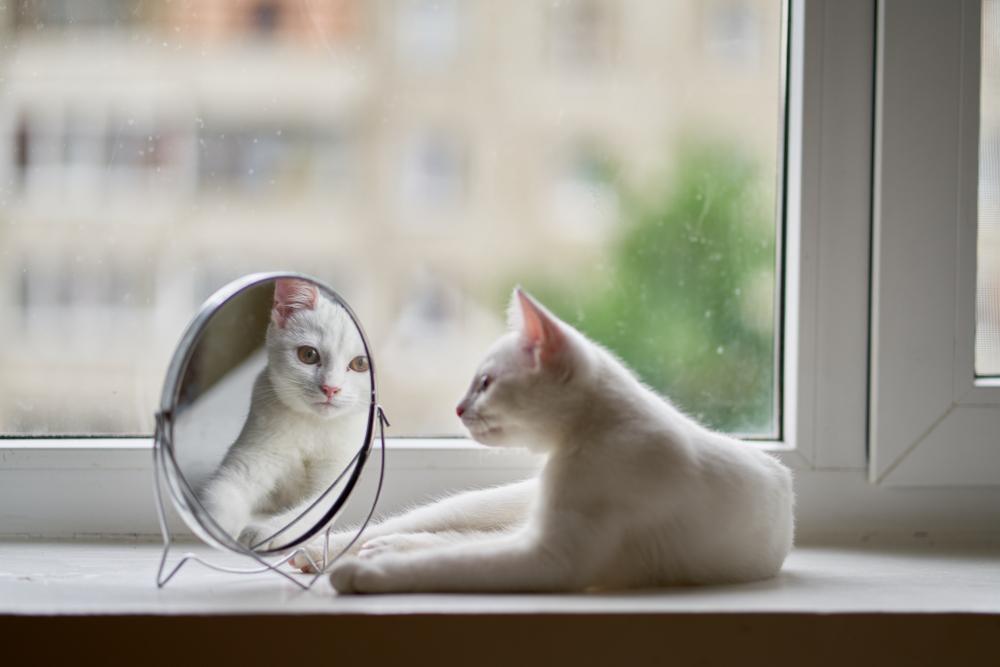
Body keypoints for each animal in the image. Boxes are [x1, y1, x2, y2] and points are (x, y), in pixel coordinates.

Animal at [197, 280, 370, 552]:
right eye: (308, 355)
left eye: (361, 363)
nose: (330, 388)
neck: (313, 424)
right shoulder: (251, 457)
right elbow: (224, 491)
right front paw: (216, 527)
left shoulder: (340, 478)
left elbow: (312, 511)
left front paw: (267, 531)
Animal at [292, 290, 792, 592]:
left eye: (486, 383)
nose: (458, 408)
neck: (592, 433)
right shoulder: (544, 548)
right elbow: (451, 555)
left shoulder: (551, 558)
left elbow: (448, 563)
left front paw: (367, 573)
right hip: (484, 505)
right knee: (429, 528)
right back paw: (321, 553)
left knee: (452, 543)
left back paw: (374, 554)